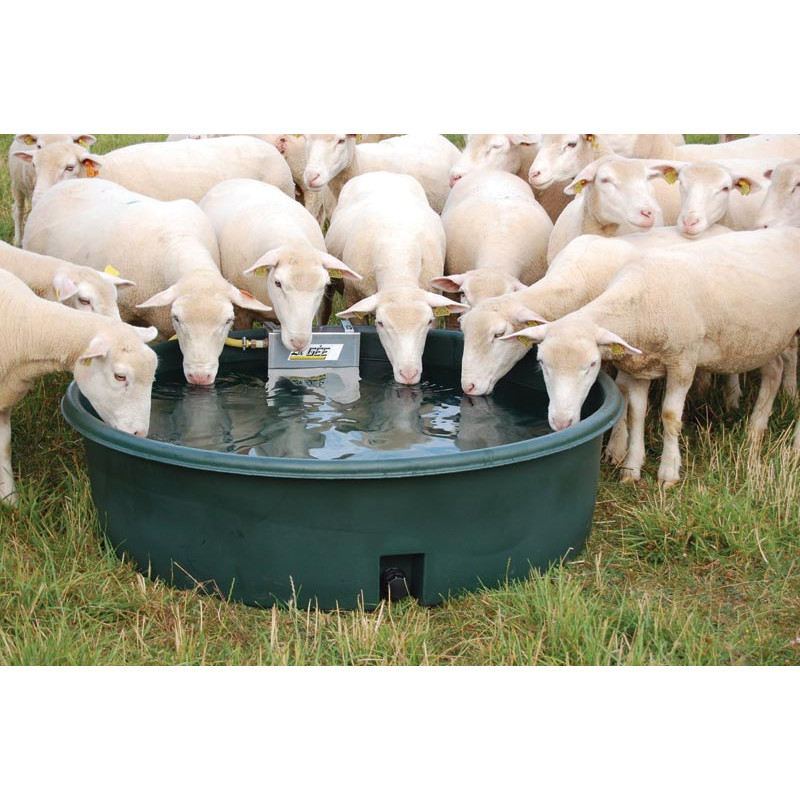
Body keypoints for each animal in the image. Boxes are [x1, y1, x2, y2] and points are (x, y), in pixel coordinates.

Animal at [198, 178, 362, 352]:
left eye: (323, 286)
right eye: (278, 283)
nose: (299, 343)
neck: (292, 242)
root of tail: (237, 179)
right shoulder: (241, 312)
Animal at [502, 228, 800, 487]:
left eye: (592, 365)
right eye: (542, 363)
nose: (561, 423)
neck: (639, 305)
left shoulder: (683, 361)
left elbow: (670, 416)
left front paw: (668, 472)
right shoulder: (639, 368)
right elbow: (636, 414)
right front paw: (631, 468)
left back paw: (793, 445)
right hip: (762, 339)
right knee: (774, 370)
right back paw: (755, 431)